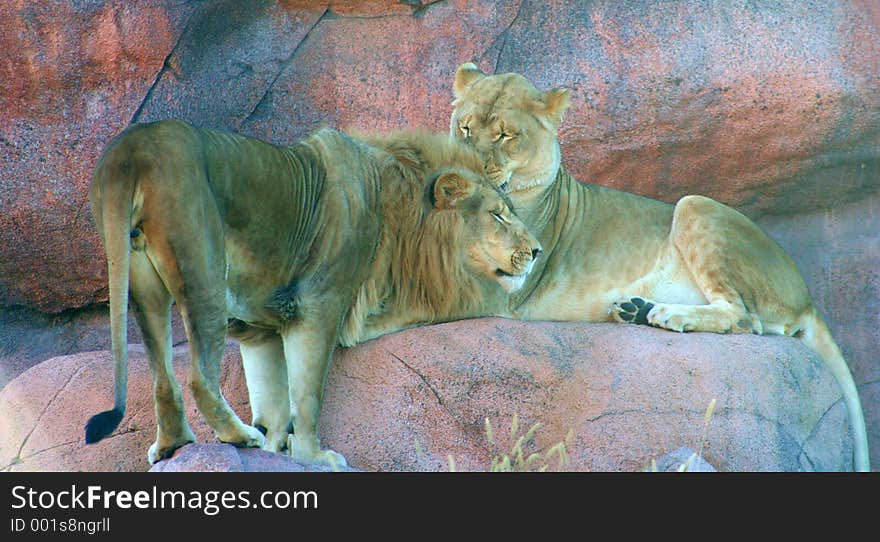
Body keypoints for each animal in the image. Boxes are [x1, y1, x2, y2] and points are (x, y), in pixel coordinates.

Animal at [86, 120, 540, 472]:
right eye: (498, 215)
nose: (536, 251)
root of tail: (129, 149)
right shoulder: (317, 305)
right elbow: (306, 394)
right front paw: (313, 455)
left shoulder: (258, 330)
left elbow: (272, 401)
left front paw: (275, 450)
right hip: (204, 264)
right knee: (199, 377)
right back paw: (238, 435)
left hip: (140, 280)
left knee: (163, 378)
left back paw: (174, 445)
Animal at [450, 62, 868, 472]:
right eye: (465, 127)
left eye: (506, 135)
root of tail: (807, 294)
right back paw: (635, 309)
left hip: (694, 204)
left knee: (744, 318)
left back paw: (666, 314)